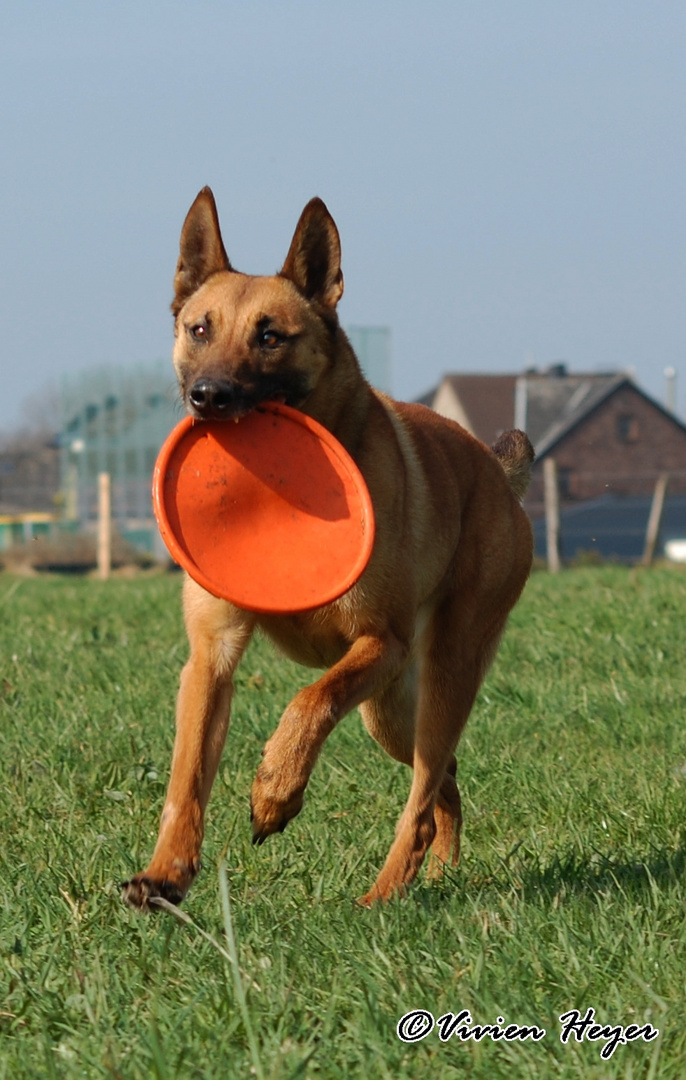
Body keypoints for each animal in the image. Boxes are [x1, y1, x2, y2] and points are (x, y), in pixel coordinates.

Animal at [120, 190, 533, 907]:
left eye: (269, 336)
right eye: (199, 329)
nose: (208, 397)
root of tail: (496, 471)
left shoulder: (379, 643)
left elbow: (309, 700)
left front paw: (274, 793)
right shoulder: (211, 658)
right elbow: (185, 778)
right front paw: (165, 874)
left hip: (441, 672)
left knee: (422, 795)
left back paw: (383, 896)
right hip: (390, 711)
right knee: (443, 779)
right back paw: (439, 874)